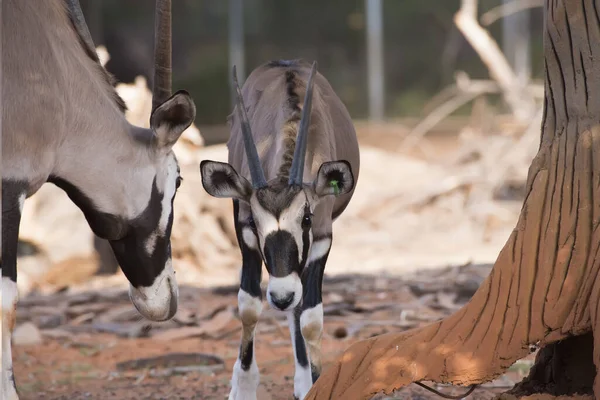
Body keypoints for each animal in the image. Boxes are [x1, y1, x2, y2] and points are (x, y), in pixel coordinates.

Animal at [202, 60, 360, 400]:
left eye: (307, 219)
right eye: (255, 223)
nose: (281, 296)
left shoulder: (322, 240)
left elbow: (311, 318)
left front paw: (314, 382)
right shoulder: (244, 233)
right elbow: (249, 306)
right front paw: (243, 388)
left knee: (300, 308)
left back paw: (302, 378)